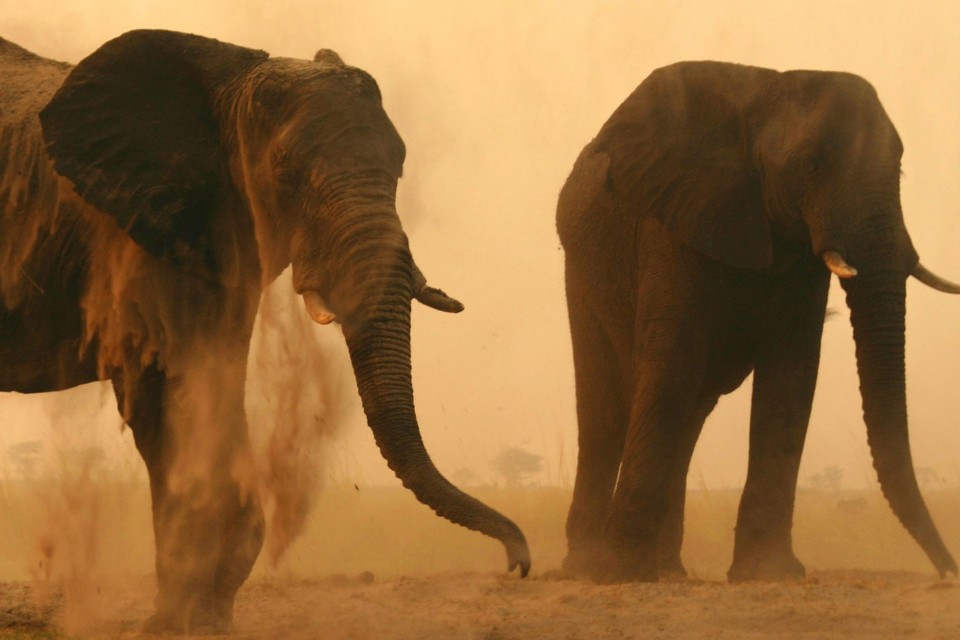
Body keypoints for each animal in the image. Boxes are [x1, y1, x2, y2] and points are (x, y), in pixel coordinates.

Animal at [0, 30, 529, 633]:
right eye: (286, 170)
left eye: (399, 165)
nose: (518, 564)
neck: (227, 83)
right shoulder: (134, 238)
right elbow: (168, 398)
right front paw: (173, 624)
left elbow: (211, 390)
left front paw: (205, 620)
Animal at [556, 60, 959, 583]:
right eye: (809, 164)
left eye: (900, 167)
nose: (948, 571)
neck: (766, 89)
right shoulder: (673, 218)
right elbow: (671, 363)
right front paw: (620, 572)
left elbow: (791, 376)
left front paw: (770, 573)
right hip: (582, 272)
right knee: (606, 410)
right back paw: (585, 567)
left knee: (690, 413)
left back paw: (670, 571)